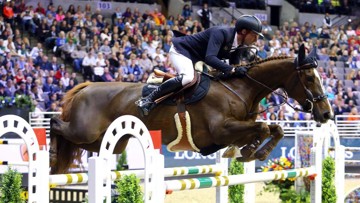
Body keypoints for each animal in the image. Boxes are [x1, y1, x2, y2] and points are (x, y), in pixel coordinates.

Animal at [50, 44, 332, 174]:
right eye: (309, 78)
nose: (327, 113)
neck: (240, 88)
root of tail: (86, 86)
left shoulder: (235, 130)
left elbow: (274, 129)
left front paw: (251, 152)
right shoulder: (221, 130)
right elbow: (263, 127)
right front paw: (250, 152)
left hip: (106, 142)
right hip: (84, 130)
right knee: (56, 125)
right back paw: (52, 157)